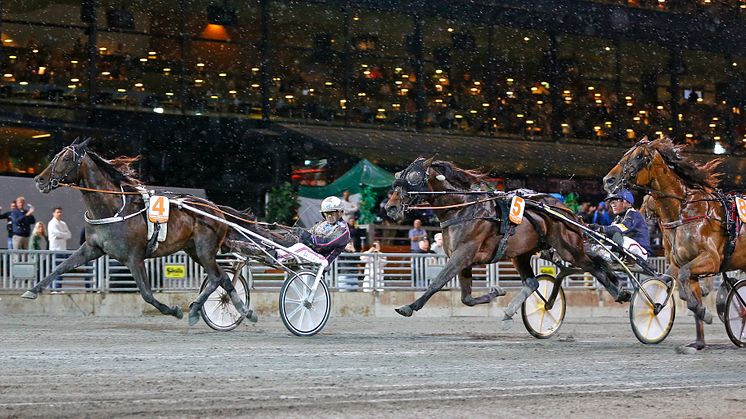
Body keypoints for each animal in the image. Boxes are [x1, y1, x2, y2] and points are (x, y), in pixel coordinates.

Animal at [384, 157, 628, 318]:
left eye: (413, 179)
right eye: (397, 179)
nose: (391, 207)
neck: (464, 209)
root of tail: (566, 210)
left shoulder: (463, 254)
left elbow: (438, 281)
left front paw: (409, 307)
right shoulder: (462, 258)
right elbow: (466, 298)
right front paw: (496, 291)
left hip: (569, 248)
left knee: (594, 267)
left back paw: (620, 292)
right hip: (521, 254)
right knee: (532, 282)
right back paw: (511, 310)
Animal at [600, 137, 740, 352]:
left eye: (638, 156)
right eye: (625, 154)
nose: (609, 180)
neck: (685, 211)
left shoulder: (712, 259)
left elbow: (682, 279)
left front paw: (702, 311)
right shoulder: (681, 263)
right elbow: (679, 286)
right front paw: (698, 339)